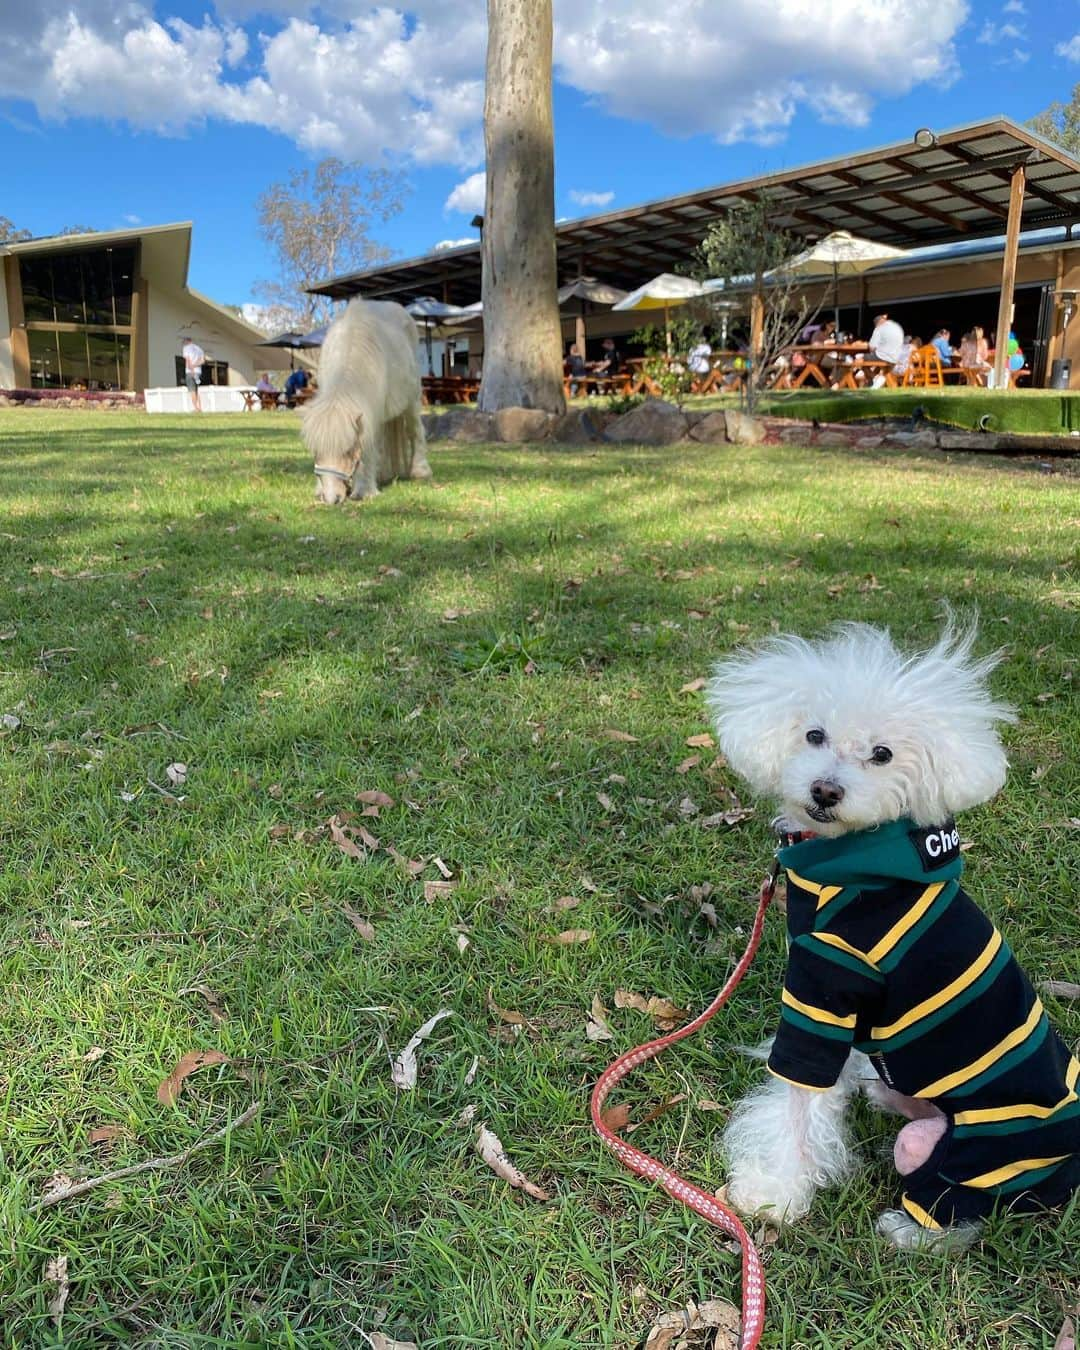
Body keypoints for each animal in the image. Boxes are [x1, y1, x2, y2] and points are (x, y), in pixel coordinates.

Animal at [299, 298, 429, 504]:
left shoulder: (370, 415)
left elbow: (368, 448)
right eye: (315, 451)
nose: (331, 498)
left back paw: (420, 472)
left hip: (411, 401)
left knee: (415, 431)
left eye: (347, 450)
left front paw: (364, 491)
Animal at [707, 626, 1080, 1247]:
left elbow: (798, 1099)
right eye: (814, 734)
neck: (858, 858)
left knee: (962, 1209)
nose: (825, 791)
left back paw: (910, 1231)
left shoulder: (824, 990)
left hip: (983, 1153)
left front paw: (774, 1192)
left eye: (882, 754)